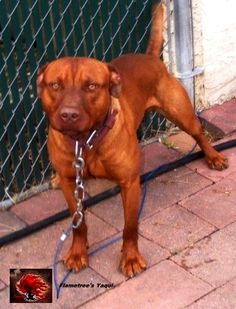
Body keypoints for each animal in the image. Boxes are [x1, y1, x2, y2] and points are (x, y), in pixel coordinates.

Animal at [37, 3, 228, 276]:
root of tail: (150, 57)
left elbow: (130, 226)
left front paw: (130, 258)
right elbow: (78, 223)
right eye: (55, 85)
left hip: (181, 113)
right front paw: (77, 252)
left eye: (92, 86)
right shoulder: (69, 182)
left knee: (199, 133)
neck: (86, 141)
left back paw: (213, 156)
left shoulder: (129, 183)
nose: (69, 115)